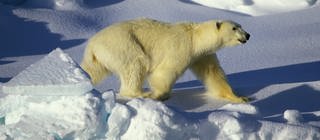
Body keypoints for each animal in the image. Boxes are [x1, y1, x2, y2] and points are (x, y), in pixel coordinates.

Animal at [80, 17, 250, 103]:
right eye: (234, 28)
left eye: (241, 25)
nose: (248, 35)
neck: (195, 38)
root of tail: (92, 45)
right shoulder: (182, 48)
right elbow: (165, 72)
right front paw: (159, 95)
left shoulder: (202, 55)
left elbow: (213, 74)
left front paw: (240, 98)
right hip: (123, 44)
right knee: (136, 64)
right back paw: (141, 94)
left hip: (99, 59)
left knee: (92, 71)